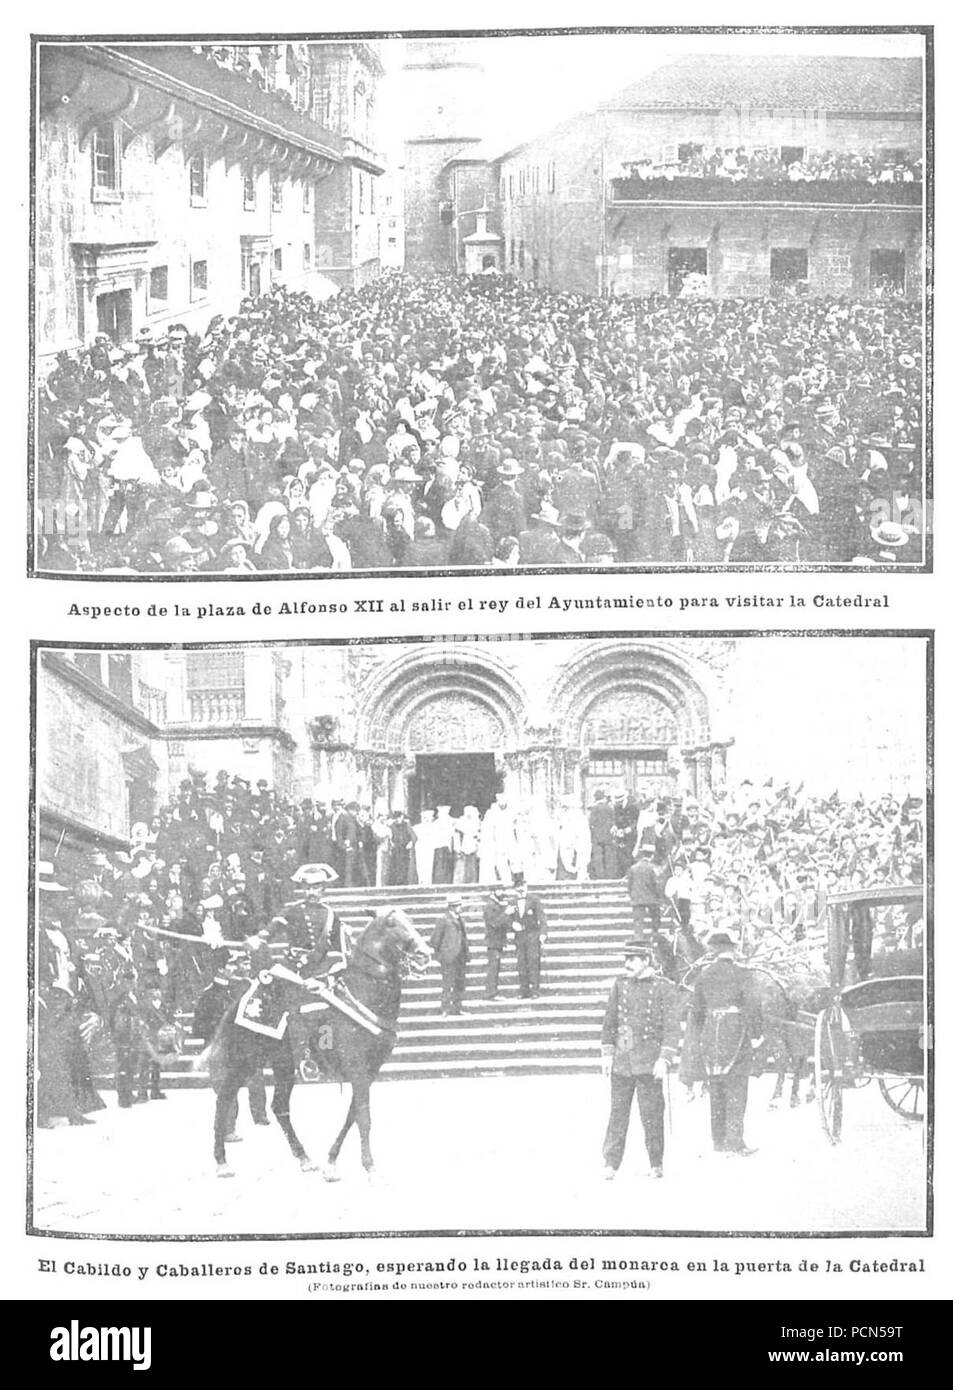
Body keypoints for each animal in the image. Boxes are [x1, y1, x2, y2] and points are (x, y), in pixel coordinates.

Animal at [212, 906, 433, 1178]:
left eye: (410, 919)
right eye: (392, 923)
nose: (425, 954)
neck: (362, 993)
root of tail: (240, 1001)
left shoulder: (371, 1070)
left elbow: (352, 1115)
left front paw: (331, 1161)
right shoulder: (356, 1067)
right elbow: (363, 1116)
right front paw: (369, 1165)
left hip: (284, 1065)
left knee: (279, 1107)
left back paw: (304, 1158)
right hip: (244, 1061)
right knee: (224, 1099)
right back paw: (222, 1162)